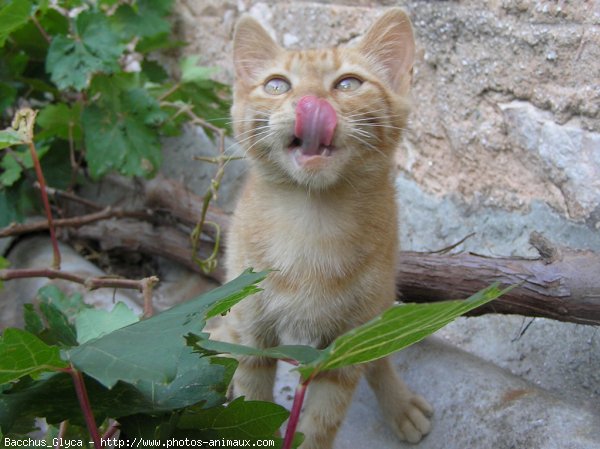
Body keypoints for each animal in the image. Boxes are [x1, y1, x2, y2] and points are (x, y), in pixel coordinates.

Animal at [223, 7, 434, 448]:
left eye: (348, 83)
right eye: (276, 85)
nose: (310, 103)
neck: (312, 221)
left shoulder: (344, 349)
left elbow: (321, 421)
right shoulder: (253, 334)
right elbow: (253, 397)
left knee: (379, 353)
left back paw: (399, 403)